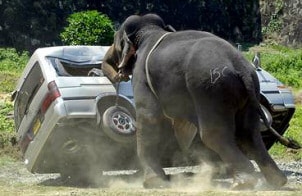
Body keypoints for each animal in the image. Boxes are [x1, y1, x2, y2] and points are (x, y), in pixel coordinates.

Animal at [106, 13, 288, 188]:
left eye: (115, 41)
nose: (118, 75)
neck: (150, 31)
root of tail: (241, 68)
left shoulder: (141, 77)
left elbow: (149, 117)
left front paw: (154, 183)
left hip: (210, 90)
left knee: (214, 134)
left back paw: (243, 182)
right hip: (249, 93)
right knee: (248, 132)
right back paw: (277, 181)